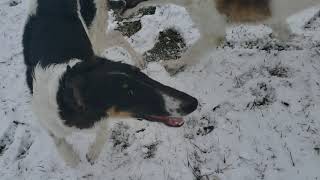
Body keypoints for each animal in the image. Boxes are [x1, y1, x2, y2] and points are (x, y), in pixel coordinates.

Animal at [23, 0, 198, 167]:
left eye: (140, 75)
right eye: (129, 93)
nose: (194, 103)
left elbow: (103, 132)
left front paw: (92, 153)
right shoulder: (47, 119)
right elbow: (65, 150)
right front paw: (73, 157)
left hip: (94, 32)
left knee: (116, 34)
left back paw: (138, 58)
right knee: (115, 35)